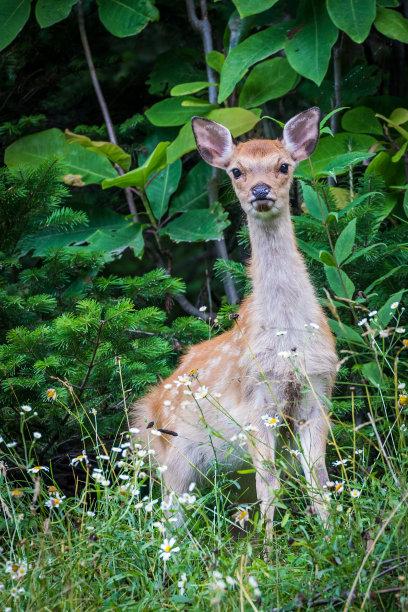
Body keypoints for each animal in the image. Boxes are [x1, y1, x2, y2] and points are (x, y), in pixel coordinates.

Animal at [131, 109, 338, 532]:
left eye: (283, 165)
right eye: (237, 171)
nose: (260, 190)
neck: (288, 339)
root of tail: (147, 409)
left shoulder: (317, 392)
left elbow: (317, 480)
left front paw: (333, 536)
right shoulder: (257, 402)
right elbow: (270, 485)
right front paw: (272, 546)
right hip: (175, 461)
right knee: (167, 520)